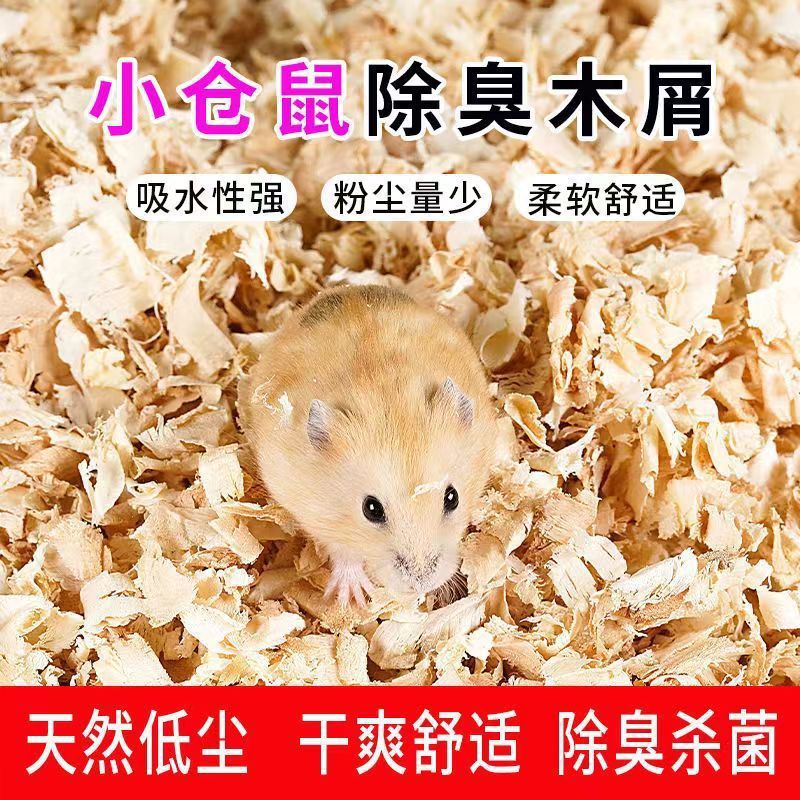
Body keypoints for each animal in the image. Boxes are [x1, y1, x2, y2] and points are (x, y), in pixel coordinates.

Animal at [238, 284, 496, 606]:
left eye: (453, 498)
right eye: (371, 509)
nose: (420, 585)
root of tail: (349, 289)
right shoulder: (317, 515)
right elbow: (344, 551)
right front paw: (352, 599)